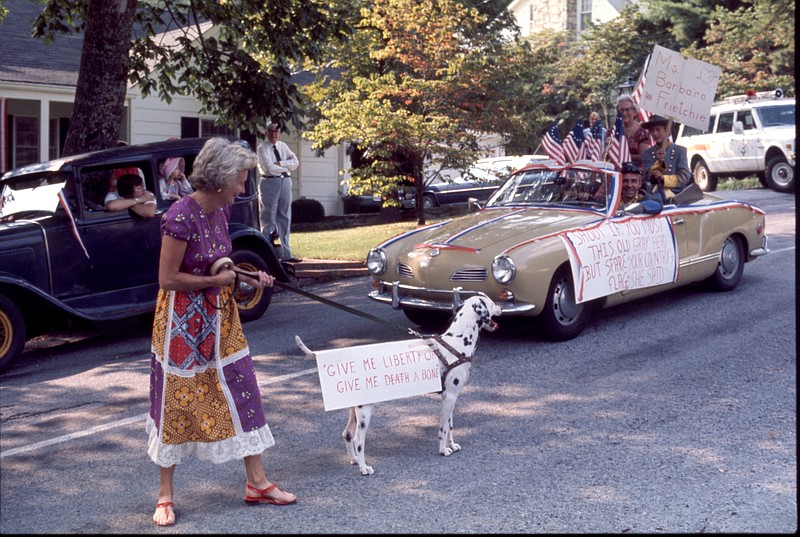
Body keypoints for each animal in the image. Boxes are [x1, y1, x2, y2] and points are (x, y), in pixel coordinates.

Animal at [294, 296, 500, 476]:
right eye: (491, 302)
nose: (501, 306)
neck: (457, 341)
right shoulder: (449, 397)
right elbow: (442, 429)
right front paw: (443, 450)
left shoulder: (450, 397)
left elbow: (449, 426)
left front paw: (452, 445)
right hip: (364, 412)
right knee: (359, 440)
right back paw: (364, 468)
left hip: (354, 412)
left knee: (347, 434)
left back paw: (354, 460)